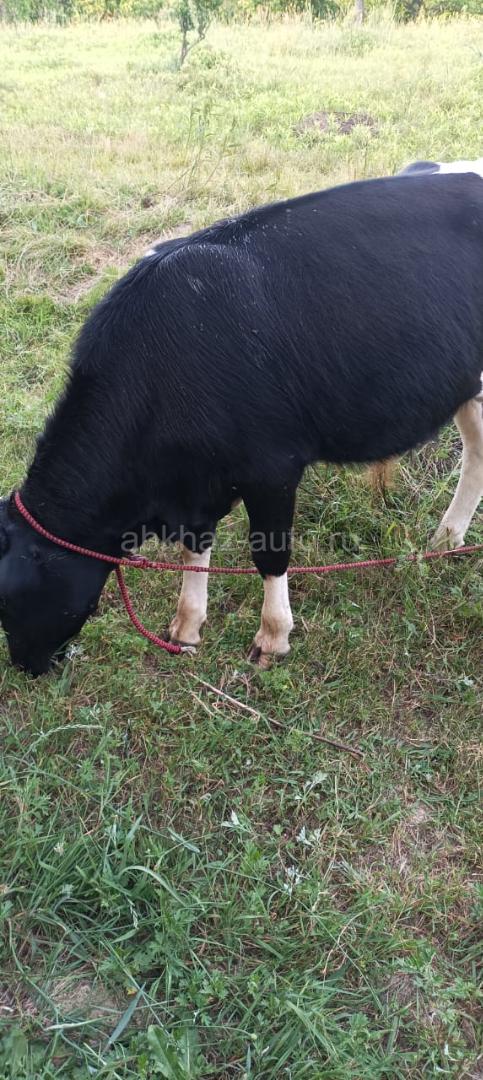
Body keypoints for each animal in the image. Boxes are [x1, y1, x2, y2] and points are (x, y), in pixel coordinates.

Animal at [0, 171, 482, 676]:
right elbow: (196, 547)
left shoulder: (273, 467)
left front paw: (272, 638)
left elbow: (269, 553)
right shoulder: (197, 485)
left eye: (12, 601)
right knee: (477, 450)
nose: (26, 665)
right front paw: (187, 626)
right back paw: (447, 538)